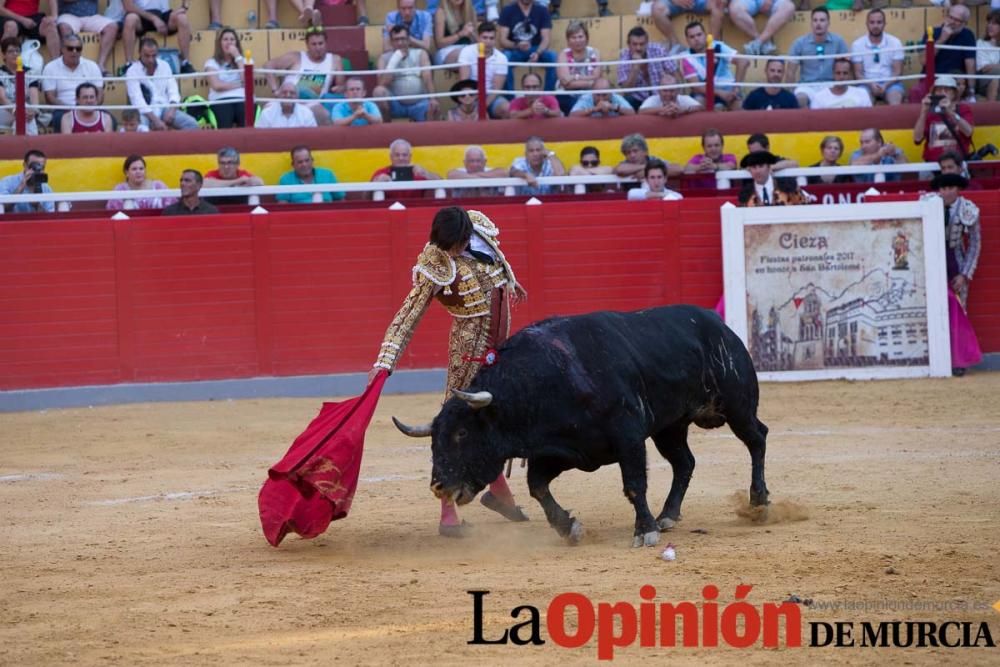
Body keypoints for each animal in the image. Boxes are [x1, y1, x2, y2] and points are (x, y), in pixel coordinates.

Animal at [394, 306, 768, 544]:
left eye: (462, 433)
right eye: (434, 440)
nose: (439, 486)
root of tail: (720, 326)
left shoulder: (628, 436)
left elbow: (634, 484)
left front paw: (643, 530)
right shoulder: (563, 450)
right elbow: (537, 486)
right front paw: (568, 527)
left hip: (737, 404)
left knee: (756, 439)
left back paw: (759, 502)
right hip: (670, 427)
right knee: (684, 462)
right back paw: (668, 515)